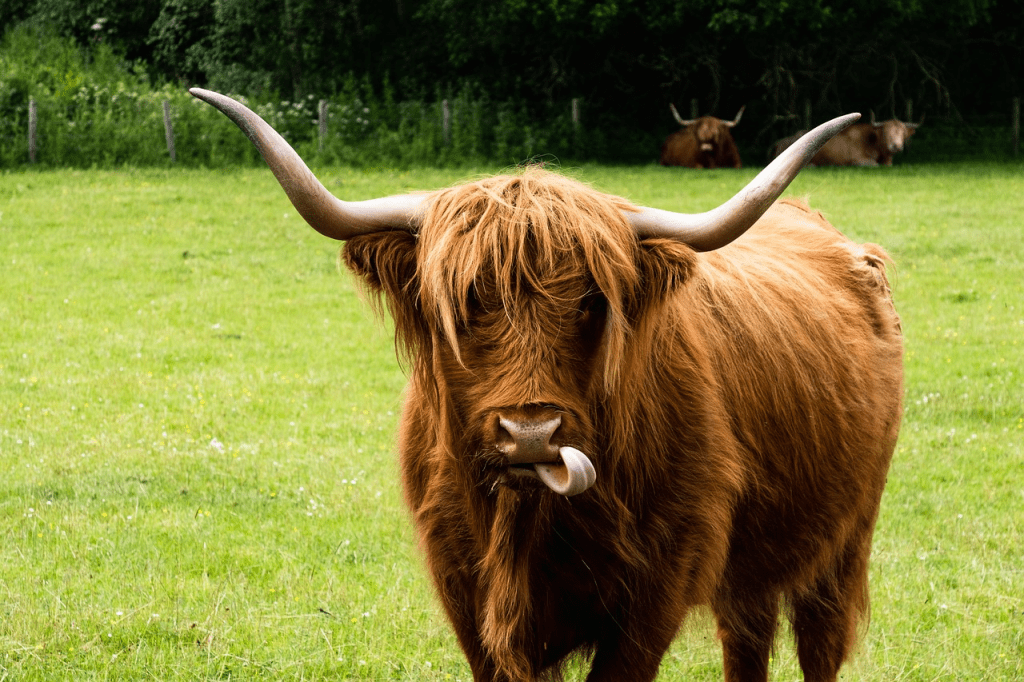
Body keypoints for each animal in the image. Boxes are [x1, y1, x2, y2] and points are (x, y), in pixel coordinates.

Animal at [191, 88, 904, 682]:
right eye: (466, 302)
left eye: (591, 302)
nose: (531, 434)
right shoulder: (465, 592)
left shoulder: (658, 587)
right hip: (752, 570)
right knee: (747, 642)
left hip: (843, 541)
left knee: (817, 644)